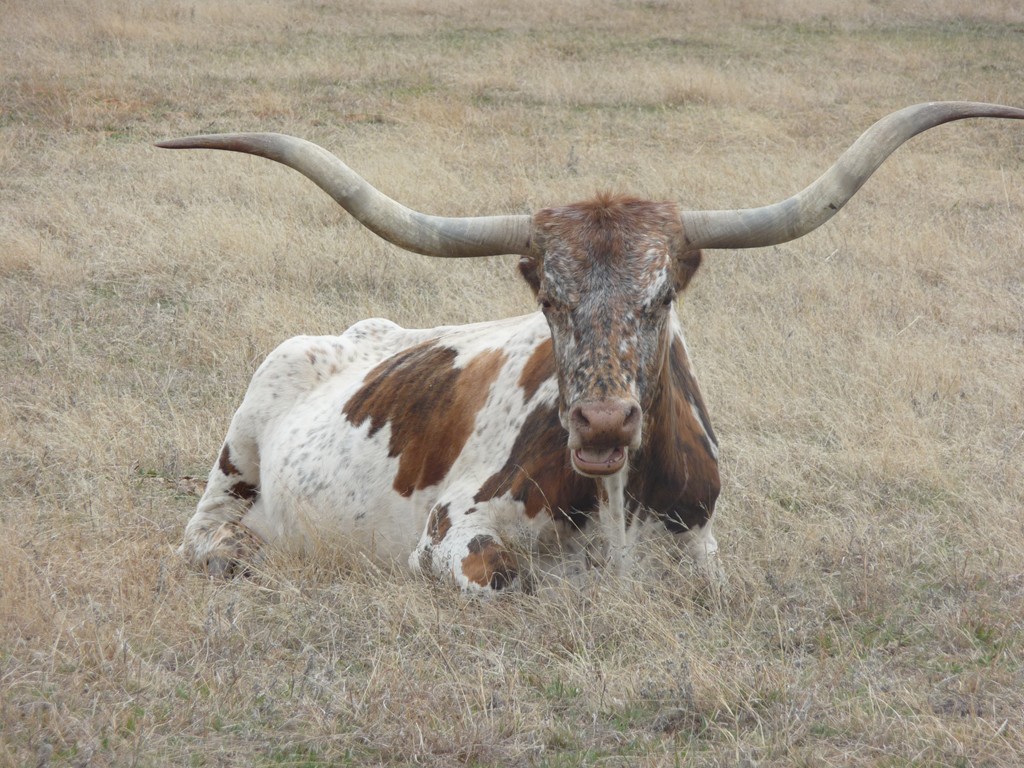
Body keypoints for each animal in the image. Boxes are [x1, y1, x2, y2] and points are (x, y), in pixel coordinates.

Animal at [159, 102, 1024, 592]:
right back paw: (238, 550)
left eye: (662, 296)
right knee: (205, 537)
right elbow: (504, 576)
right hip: (239, 443)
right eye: (549, 298)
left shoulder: (702, 548)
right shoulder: (453, 526)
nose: (604, 424)